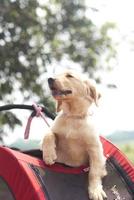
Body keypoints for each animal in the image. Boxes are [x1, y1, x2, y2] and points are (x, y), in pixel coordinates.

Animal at [42, 71, 107, 199]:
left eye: (69, 75)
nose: (50, 79)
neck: (73, 116)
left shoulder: (95, 149)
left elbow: (94, 172)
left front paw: (95, 190)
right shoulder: (53, 130)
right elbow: (48, 134)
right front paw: (49, 155)